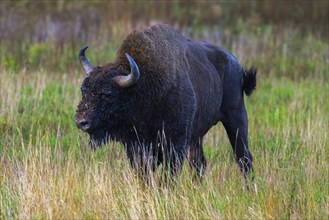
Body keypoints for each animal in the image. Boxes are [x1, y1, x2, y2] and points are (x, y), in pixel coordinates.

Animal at [74, 24, 256, 180]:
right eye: (83, 90)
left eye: (109, 95)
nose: (81, 121)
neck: (144, 84)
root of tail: (236, 65)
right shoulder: (136, 147)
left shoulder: (175, 144)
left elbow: (169, 174)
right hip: (197, 135)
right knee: (199, 163)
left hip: (236, 119)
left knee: (244, 158)